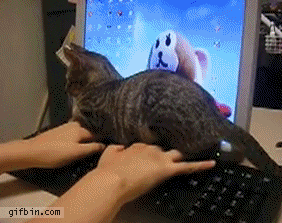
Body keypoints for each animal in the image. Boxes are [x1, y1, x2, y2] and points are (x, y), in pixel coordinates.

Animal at [62, 42, 280, 177]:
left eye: (69, 79)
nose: (66, 89)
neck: (103, 83)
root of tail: (215, 115)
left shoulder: (97, 120)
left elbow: (78, 117)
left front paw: (72, 115)